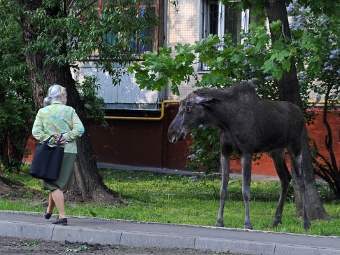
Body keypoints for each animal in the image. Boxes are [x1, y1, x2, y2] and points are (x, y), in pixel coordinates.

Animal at [167, 81, 310, 229]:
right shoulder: (224, 152)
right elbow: (223, 189)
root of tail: (301, 115)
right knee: (286, 179)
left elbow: (245, 190)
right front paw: (219, 221)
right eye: (179, 107)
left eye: (188, 108)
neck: (224, 121)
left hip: (295, 147)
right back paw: (276, 220)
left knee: (301, 181)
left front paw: (247, 223)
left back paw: (306, 222)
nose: (171, 133)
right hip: (276, 152)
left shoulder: (246, 152)